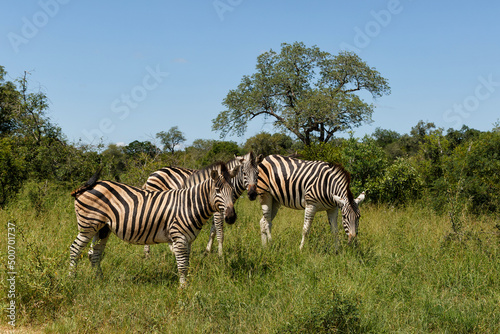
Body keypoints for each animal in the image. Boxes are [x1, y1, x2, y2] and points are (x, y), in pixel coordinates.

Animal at [69, 162, 239, 288]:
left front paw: (187, 285)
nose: (231, 217)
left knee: (94, 254)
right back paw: (72, 279)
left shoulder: (188, 240)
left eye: (232, 190)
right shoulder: (179, 237)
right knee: (75, 249)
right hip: (88, 225)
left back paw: (99, 280)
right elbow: (182, 265)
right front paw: (183, 290)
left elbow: (186, 264)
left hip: (103, 228)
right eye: (217, 190)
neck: (189, 205)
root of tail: (89, 186)